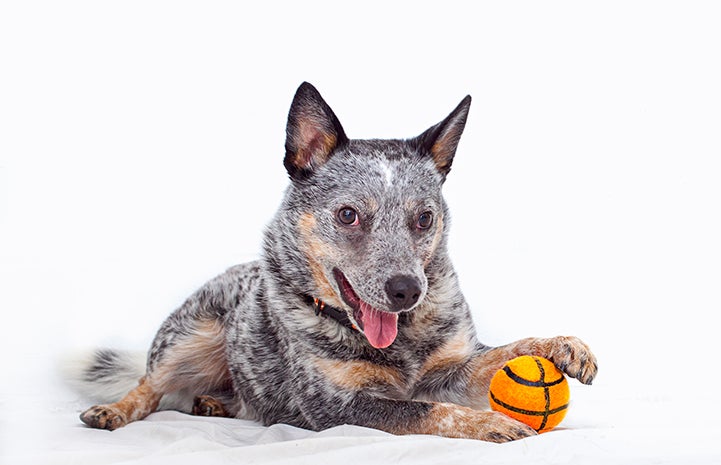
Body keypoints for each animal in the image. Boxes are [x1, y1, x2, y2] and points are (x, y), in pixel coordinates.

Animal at [77, 81, 596, 440]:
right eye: (348, 215)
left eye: (424, 218)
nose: (407, 289)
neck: (399, 342)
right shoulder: (337, 406)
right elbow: (429, 410)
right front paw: (487, 423)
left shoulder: (452, 366)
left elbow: (503, 351)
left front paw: (563, 344)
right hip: (191, 336)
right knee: (148, 386)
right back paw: (114, 410)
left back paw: (215, 404)